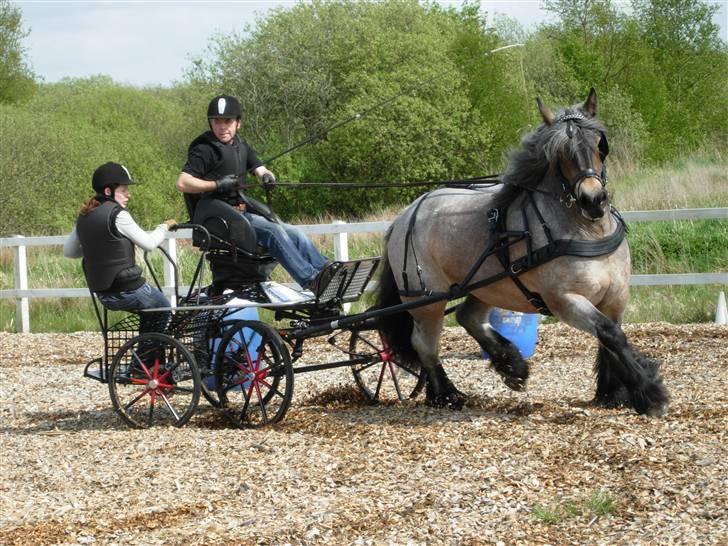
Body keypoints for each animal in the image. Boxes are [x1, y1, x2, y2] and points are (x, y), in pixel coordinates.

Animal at [378, 87, 668, 414]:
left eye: (600, 144)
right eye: (560, 154)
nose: (592, 200)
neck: (586, 230)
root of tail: (404, 217)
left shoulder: (615, 296)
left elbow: (610, 338)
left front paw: (612, 393)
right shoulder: (564, 300)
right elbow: (611, 335)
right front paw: (649, 391)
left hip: (487, 286)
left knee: (467, 316)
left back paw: (511, 365)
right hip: (427, 300)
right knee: (424, 344)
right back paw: (446, 394)